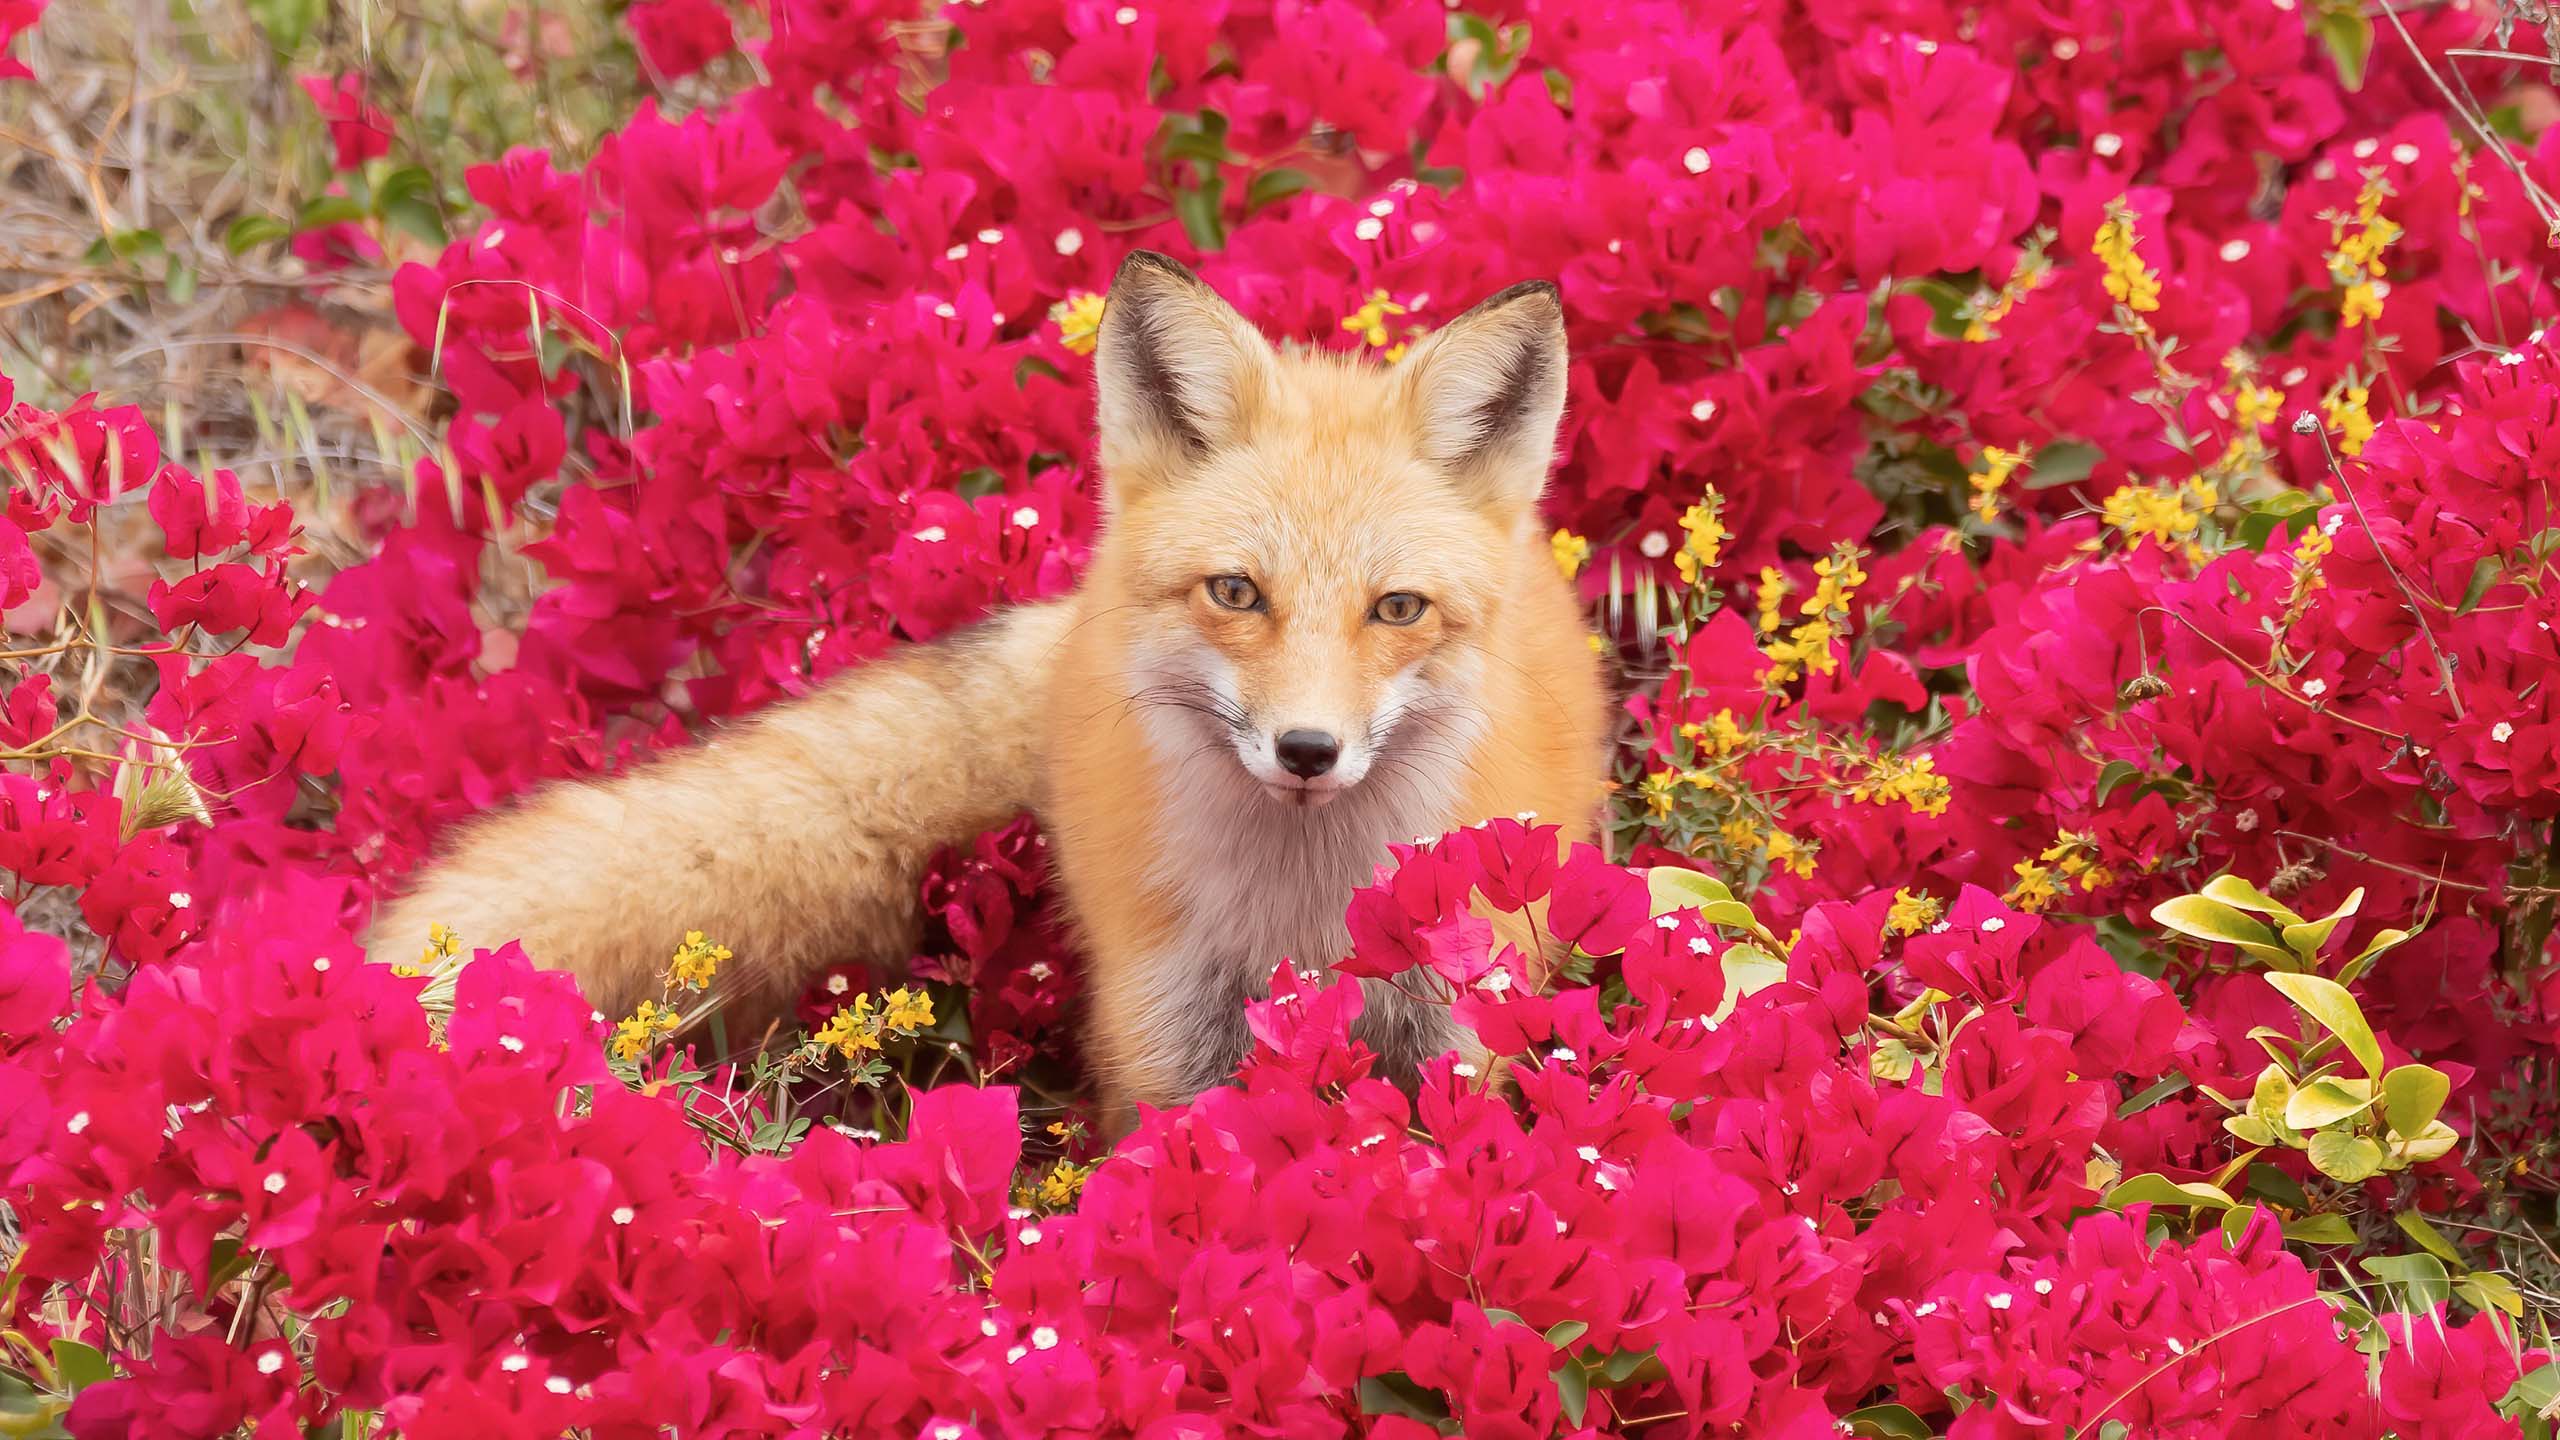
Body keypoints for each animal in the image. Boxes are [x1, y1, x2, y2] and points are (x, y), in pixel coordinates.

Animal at [365, 250, 1612, 1133]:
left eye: (1395, 610)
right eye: (1236, 592)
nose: (1307, 751)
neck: (1301, 915)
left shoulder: (1458, 1026)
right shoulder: (1168, 1042)